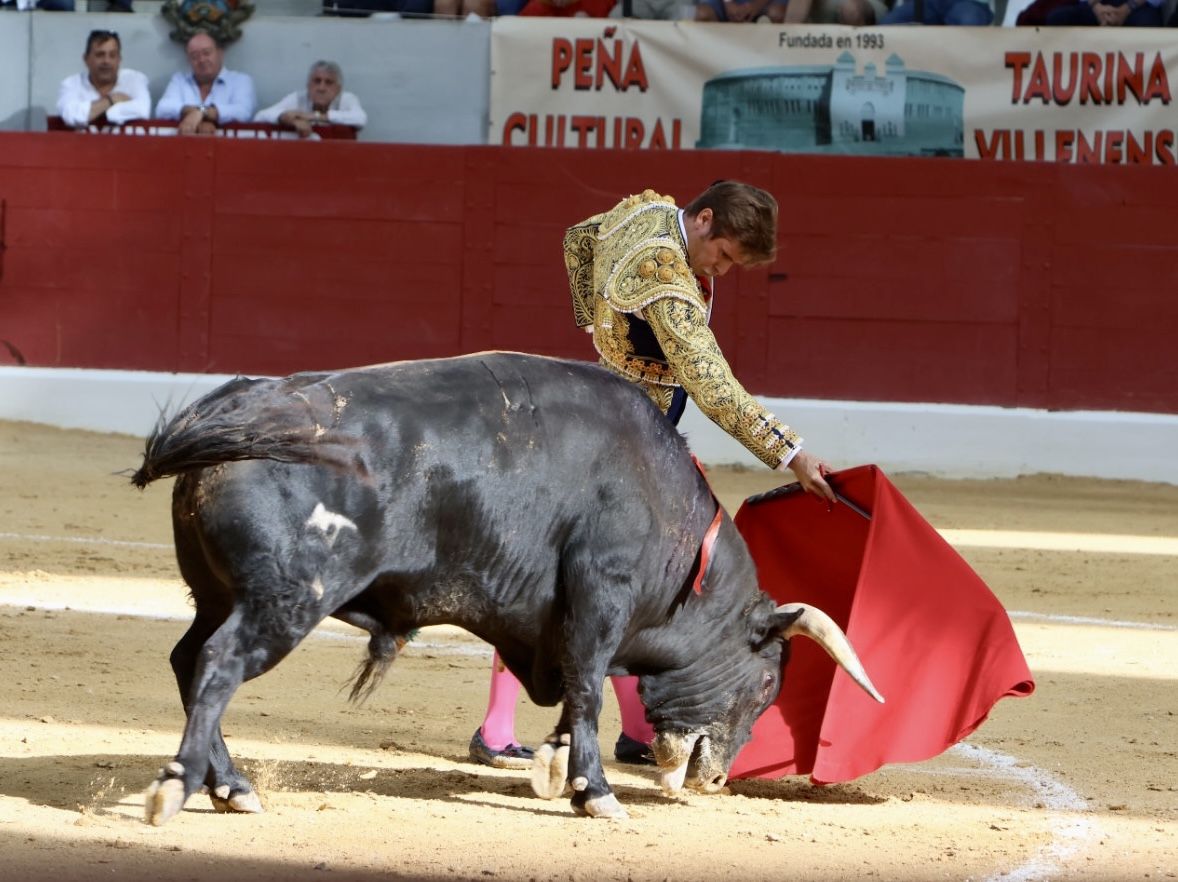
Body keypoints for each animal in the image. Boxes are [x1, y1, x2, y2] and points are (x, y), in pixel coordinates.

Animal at [133, 350, 881, 824]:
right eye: (768, 683)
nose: (717, 779)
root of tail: (233, 415)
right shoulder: (601, 595)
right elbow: (589, 688)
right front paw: (594, 792)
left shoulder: (558, 619)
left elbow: (575, 689)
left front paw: (552, 766)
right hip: (286, 600)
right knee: (220, 664)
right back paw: (180, 787)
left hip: (220, 595)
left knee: (188, 658)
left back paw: (231, 787)